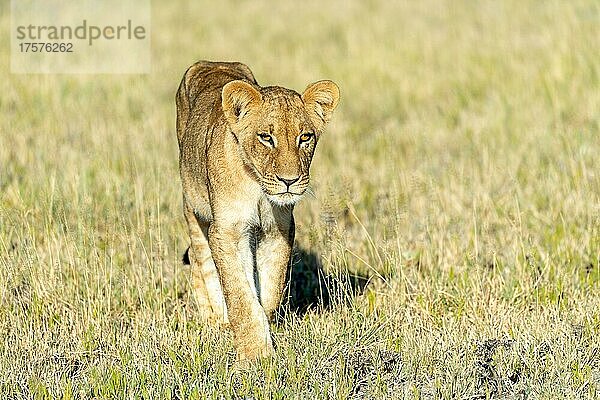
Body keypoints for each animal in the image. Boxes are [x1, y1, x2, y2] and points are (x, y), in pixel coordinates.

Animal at [176, 60, 340, 362]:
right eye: (266, 138)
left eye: (305, 137)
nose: (289, 181)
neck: (259, 191)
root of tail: (211, 62)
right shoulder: (228, 231)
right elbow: (240, 295)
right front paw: (255, 355)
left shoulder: (279, 229)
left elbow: (271, 286)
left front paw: (267, 324)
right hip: (192, 206)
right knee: (199, 256)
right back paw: (215, 319)